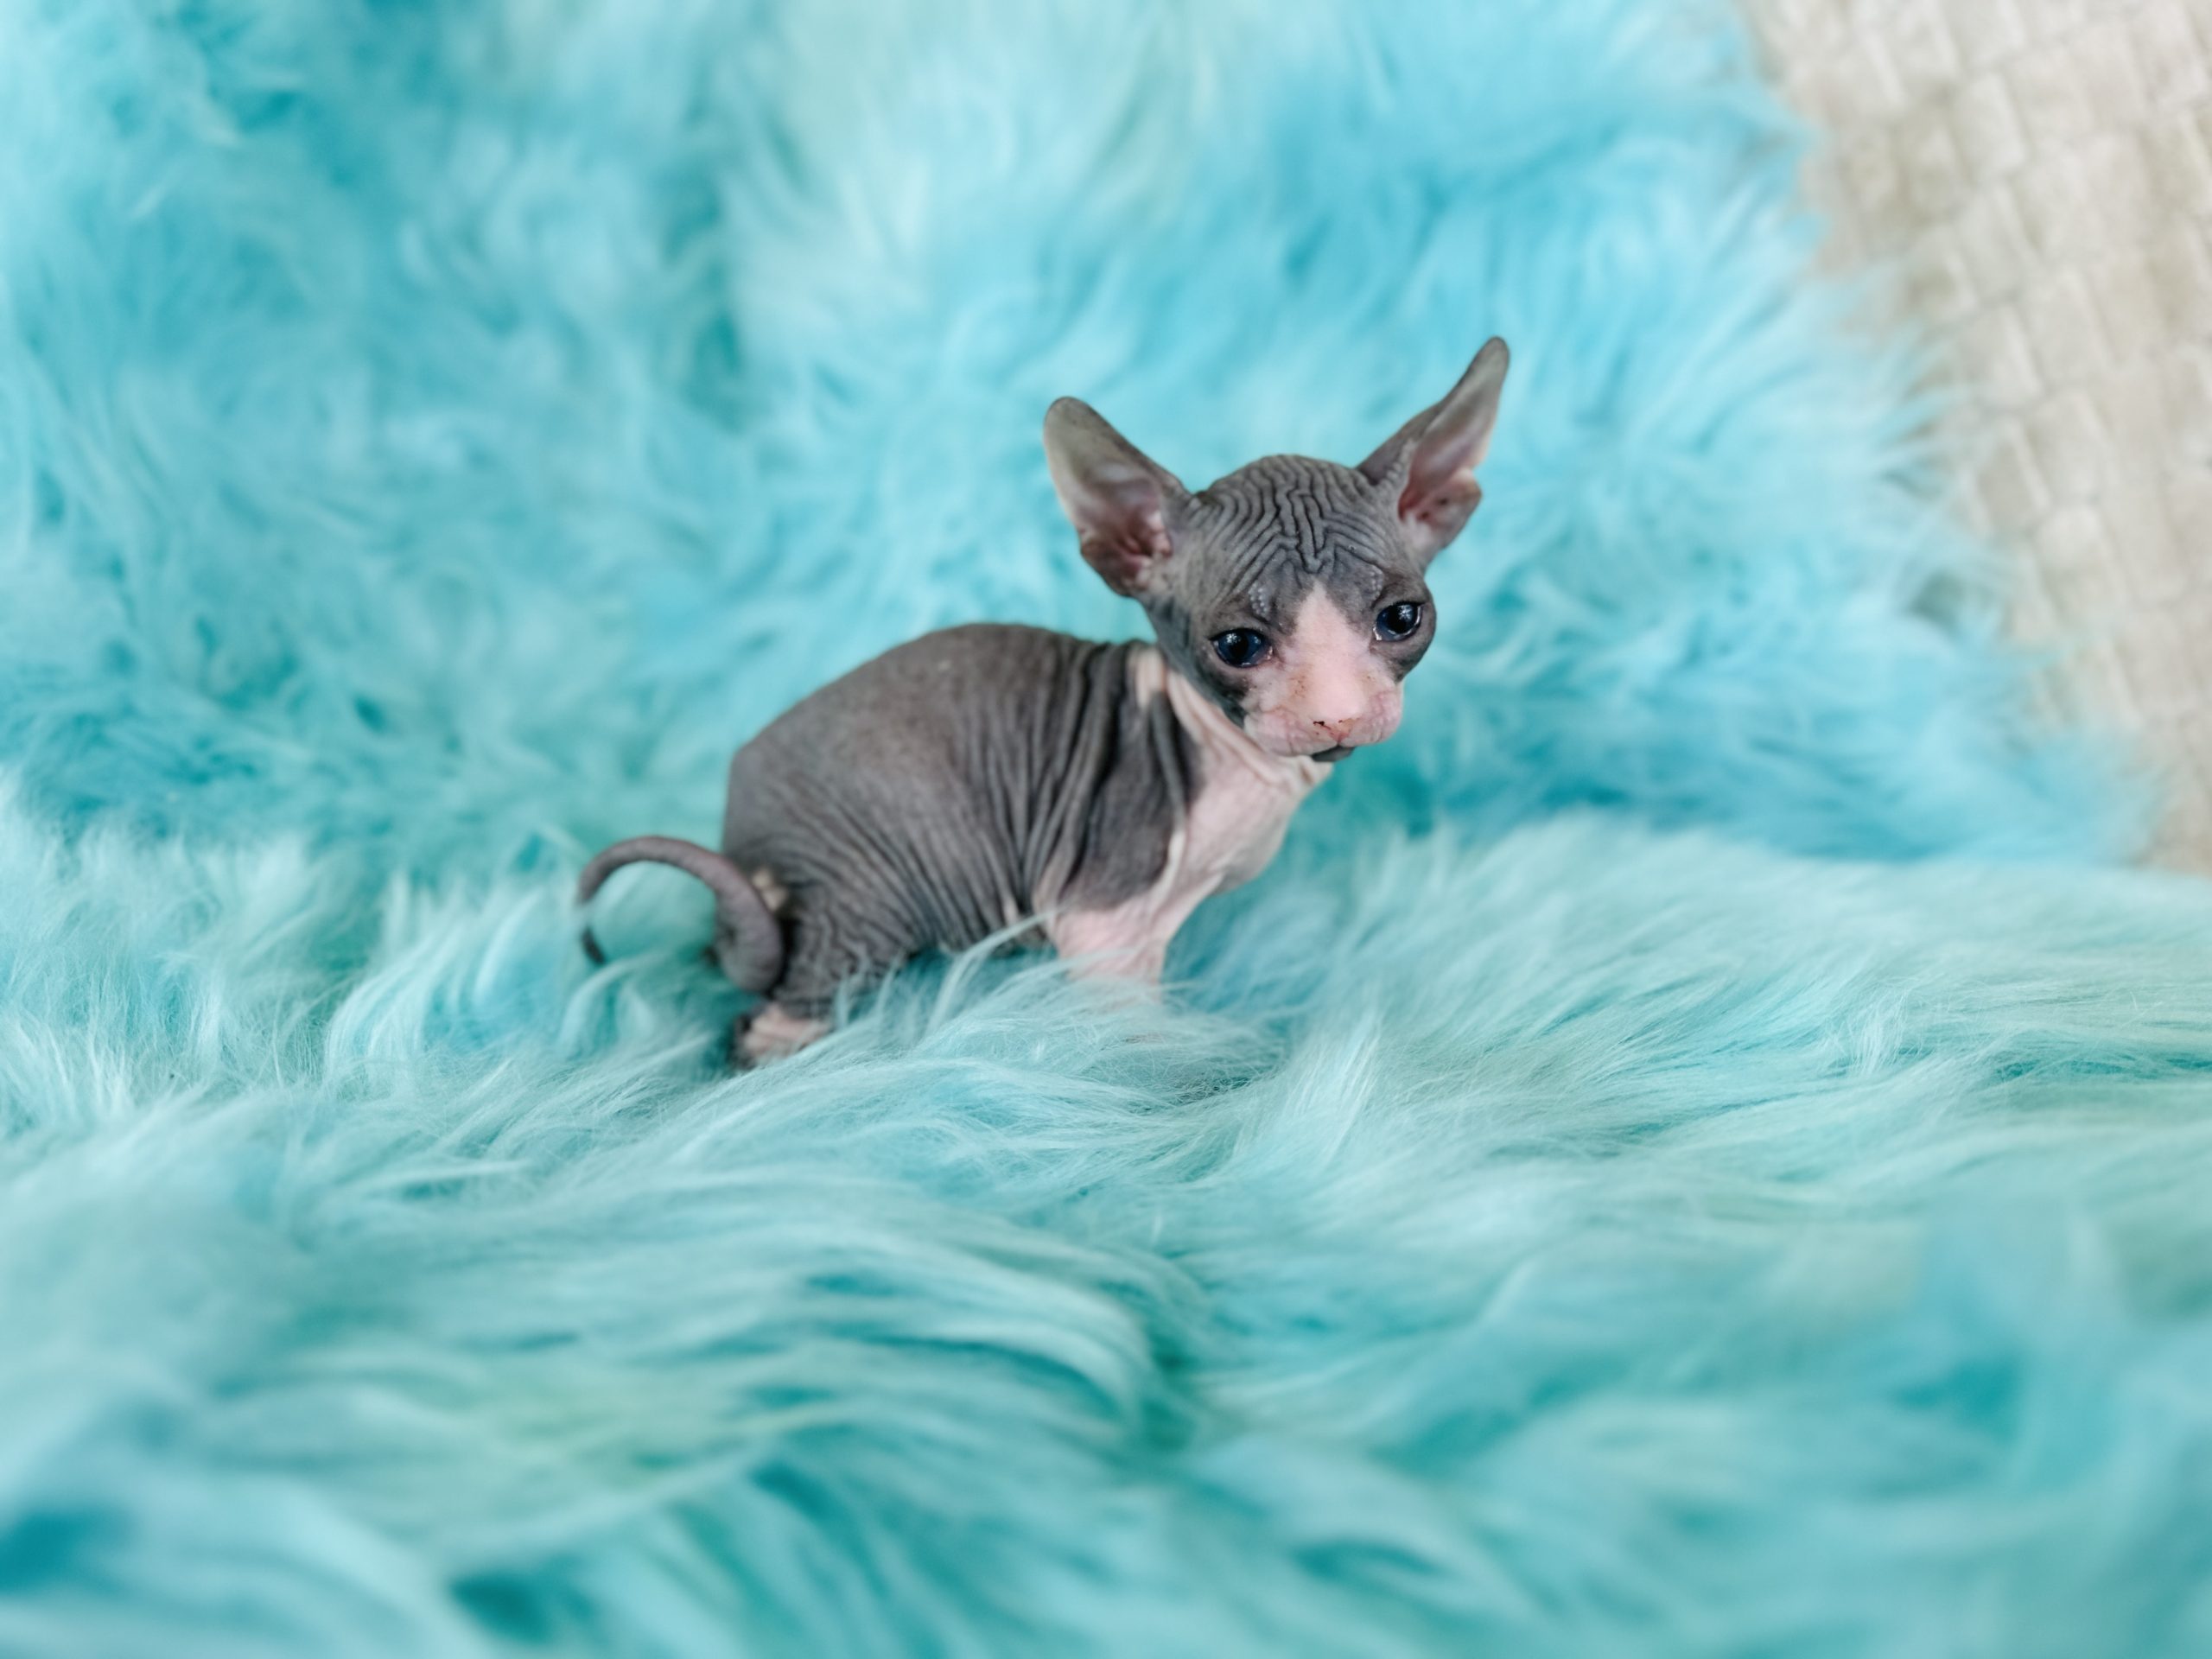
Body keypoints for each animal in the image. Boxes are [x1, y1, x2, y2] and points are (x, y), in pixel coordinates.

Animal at [575, 338, 1503, 1065]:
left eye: (1401, 619)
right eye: (1237, 646)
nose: (1338, 716)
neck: (1240, 773)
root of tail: (739, 821)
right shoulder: (1101, 907)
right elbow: (1133, 1028)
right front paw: (1180, 1088)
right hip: (868, 886)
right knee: (778, 1012)